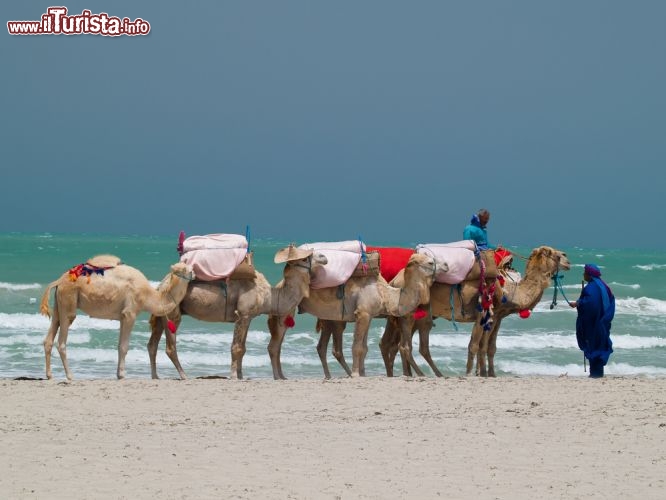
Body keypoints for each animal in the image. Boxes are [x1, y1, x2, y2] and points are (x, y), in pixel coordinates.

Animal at [40, 256, 193, 380]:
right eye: (185, 269)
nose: (193, 272)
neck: (148, 296)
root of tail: (59, 280)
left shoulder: (122, 316)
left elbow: (120, 346)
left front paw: (118, 374)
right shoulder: (130, 313)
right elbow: (124, 346)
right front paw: (123, 375)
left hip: (59, 303)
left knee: (50, 335)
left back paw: (49, 375)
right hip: (68, 300)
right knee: (62, 341)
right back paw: (70, 376)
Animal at [147, 246, 326, 378]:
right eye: (305, 258)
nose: (324, 256)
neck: (268, 296)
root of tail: (161, 285)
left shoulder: (248, 317)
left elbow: (243, 348)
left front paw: (240, 376)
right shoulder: (243, 314)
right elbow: (237, 347)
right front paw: (233, 376)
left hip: (162, 313)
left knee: (152, 345)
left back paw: (156, 377)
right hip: (173, 312)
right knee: (170, 347)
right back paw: (184, 376)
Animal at [290, 254, 446, 378]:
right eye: (430, 262)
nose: (446, 265)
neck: (386, 294)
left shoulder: (369, 315)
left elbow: (364, 348)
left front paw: (363, 374)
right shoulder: (363, 313)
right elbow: (357, 346)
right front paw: (355, 374)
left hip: (329, 318)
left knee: (322, 347)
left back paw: (328, 376)